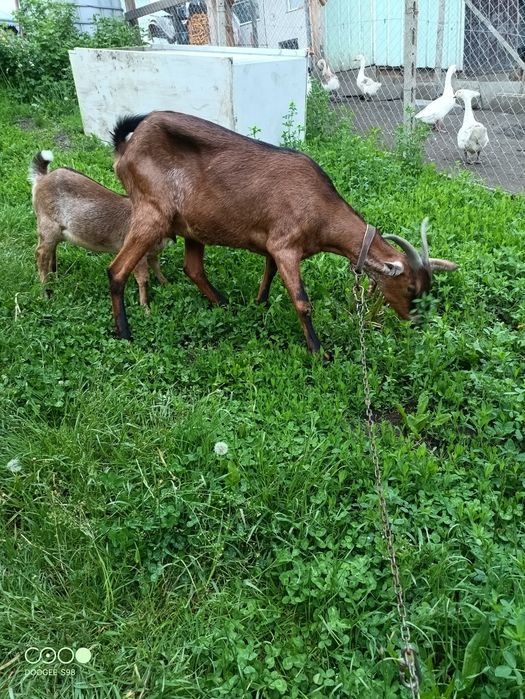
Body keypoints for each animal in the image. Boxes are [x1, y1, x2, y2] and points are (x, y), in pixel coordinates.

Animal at [29, 151, 168, 308]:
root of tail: (41, 178)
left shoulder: (152, 253)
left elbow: (156, 267)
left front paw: (167, 285)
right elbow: (143, 279)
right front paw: (146, 307)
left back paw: (54, 276)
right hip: (47, 225)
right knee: (40, 253)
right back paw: (45, 293)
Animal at [108, 111, 458, 353]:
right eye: (411, 287)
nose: (417, 321)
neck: (320, 206)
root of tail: (126, 144)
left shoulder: (271, 245)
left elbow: (269, 275)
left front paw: (258, 306)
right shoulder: (285, 246)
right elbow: (303, 302)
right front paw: (319, 353)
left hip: (192, 226)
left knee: (193, 268)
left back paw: (225, 305)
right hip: (152, 214)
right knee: (116, 270)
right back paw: (125, 335)